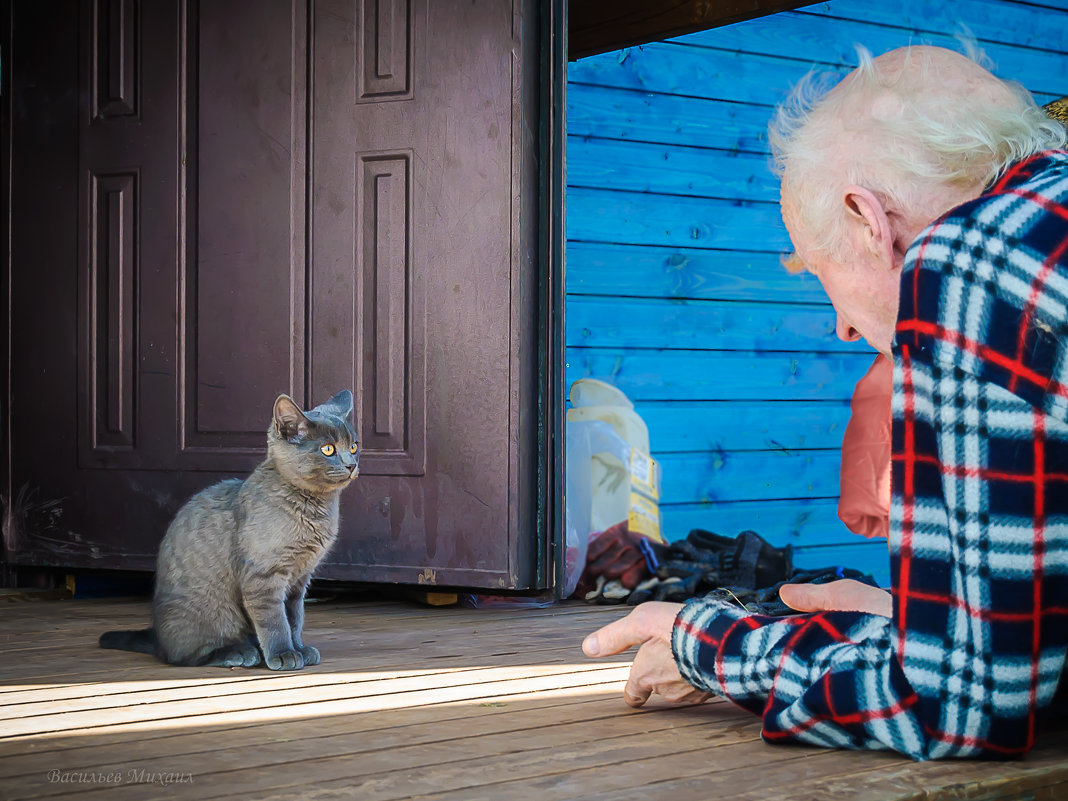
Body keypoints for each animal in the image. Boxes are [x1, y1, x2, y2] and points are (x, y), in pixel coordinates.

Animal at [100, 390, 358, 670]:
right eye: (328, 449)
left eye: (354, 446)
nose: (352, 464)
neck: (315, 509)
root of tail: (157, 636)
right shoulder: (263, 576)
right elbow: (276, 621)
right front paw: (284, 653)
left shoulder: (299, 580)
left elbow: (294, 618)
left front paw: (299, 648)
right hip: (211, 612)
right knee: (185, 656)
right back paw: (240, 652)